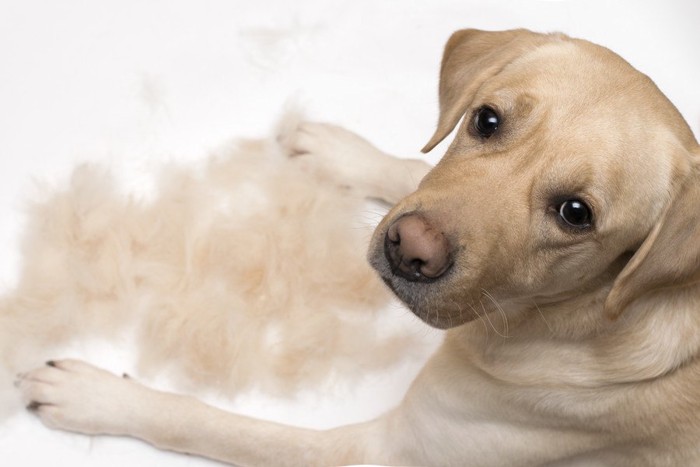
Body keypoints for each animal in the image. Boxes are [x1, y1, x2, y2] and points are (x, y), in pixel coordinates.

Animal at [13, 28, 700, 464]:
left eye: (576, 214)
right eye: (486, 120)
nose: (410, 249)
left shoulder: (385, 453)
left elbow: (222, 427)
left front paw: (99, 396)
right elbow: (413, 169)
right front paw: (344, 153)